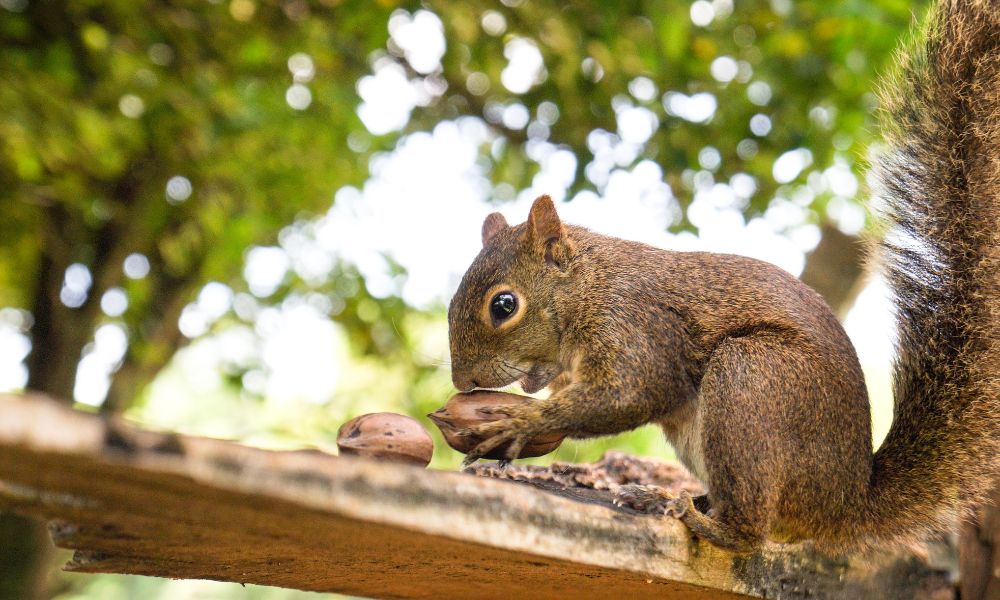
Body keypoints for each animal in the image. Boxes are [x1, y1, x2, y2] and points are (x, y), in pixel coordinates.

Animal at [448, 0, 1000, 552]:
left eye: (504, 305)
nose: (462, 381)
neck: (590, 286)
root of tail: (844, 505)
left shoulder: (638, 327)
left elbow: (631, 393)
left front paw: (522, 420)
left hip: (751, 379)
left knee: (750, 532)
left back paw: (694, 517)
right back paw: (663, 499)